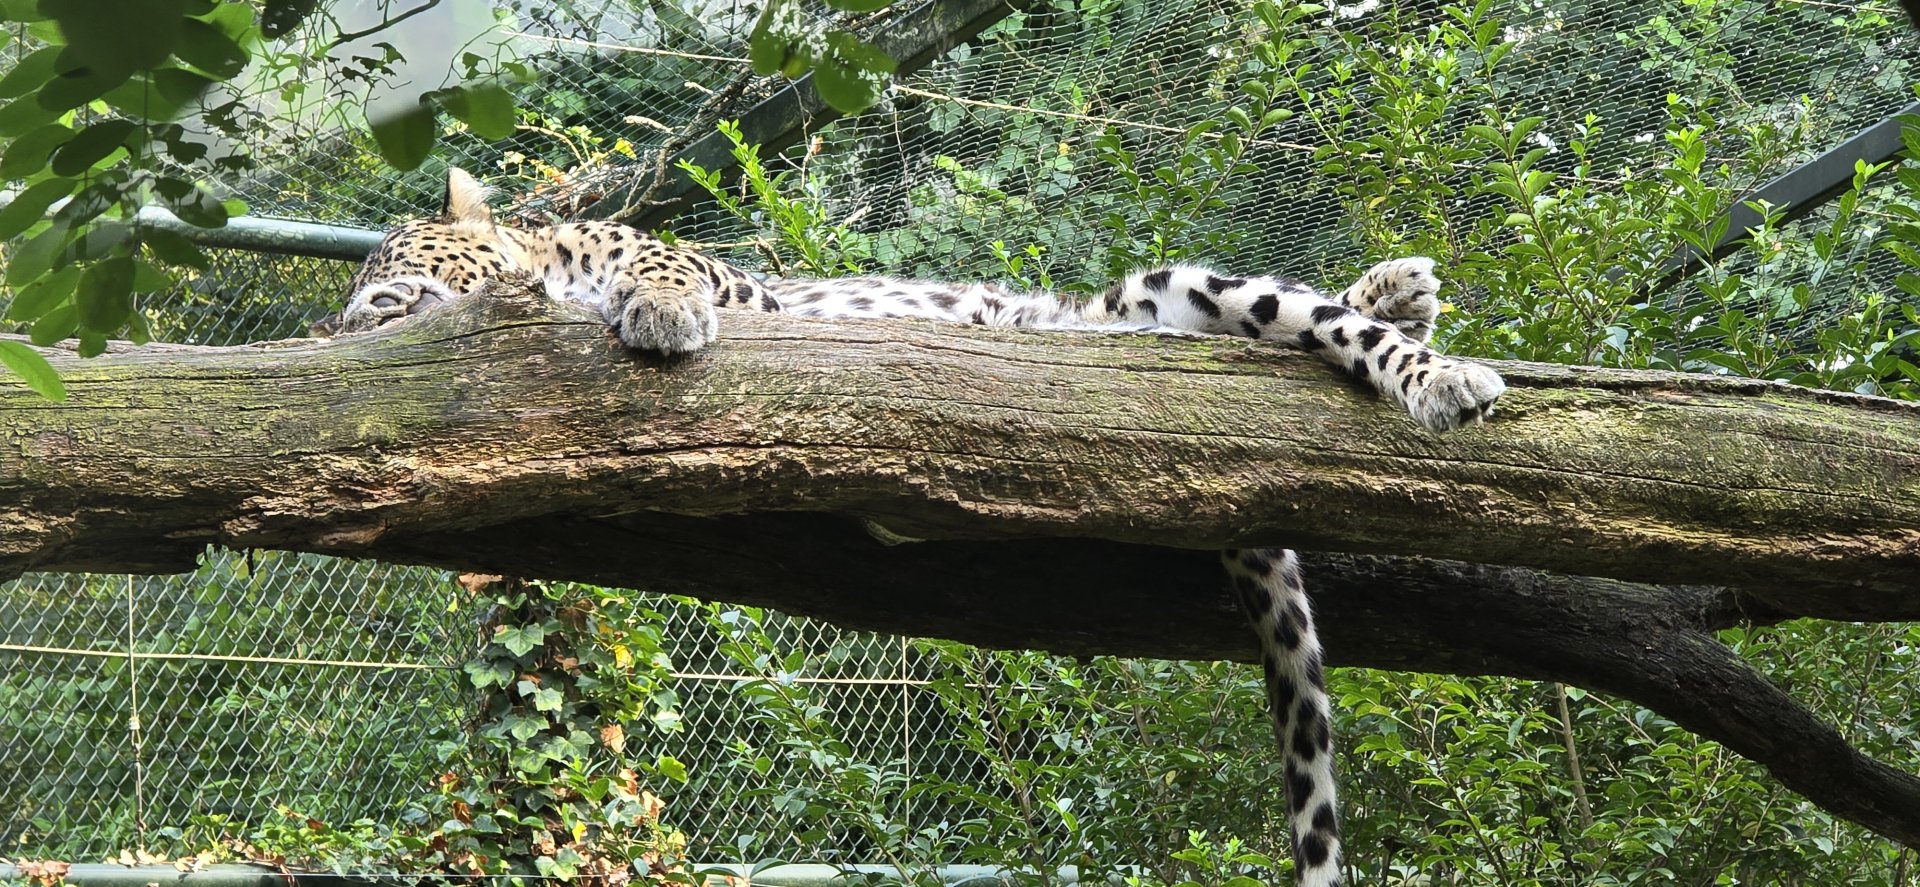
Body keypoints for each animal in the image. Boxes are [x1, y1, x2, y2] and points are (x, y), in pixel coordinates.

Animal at [334, 167, 1507, 887]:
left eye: (387, 290)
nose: (346, 331)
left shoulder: (743, 286)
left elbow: (664, 266)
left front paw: (656, 308)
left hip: (1173, 292)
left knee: (1315, 320)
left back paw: (1434, 351)